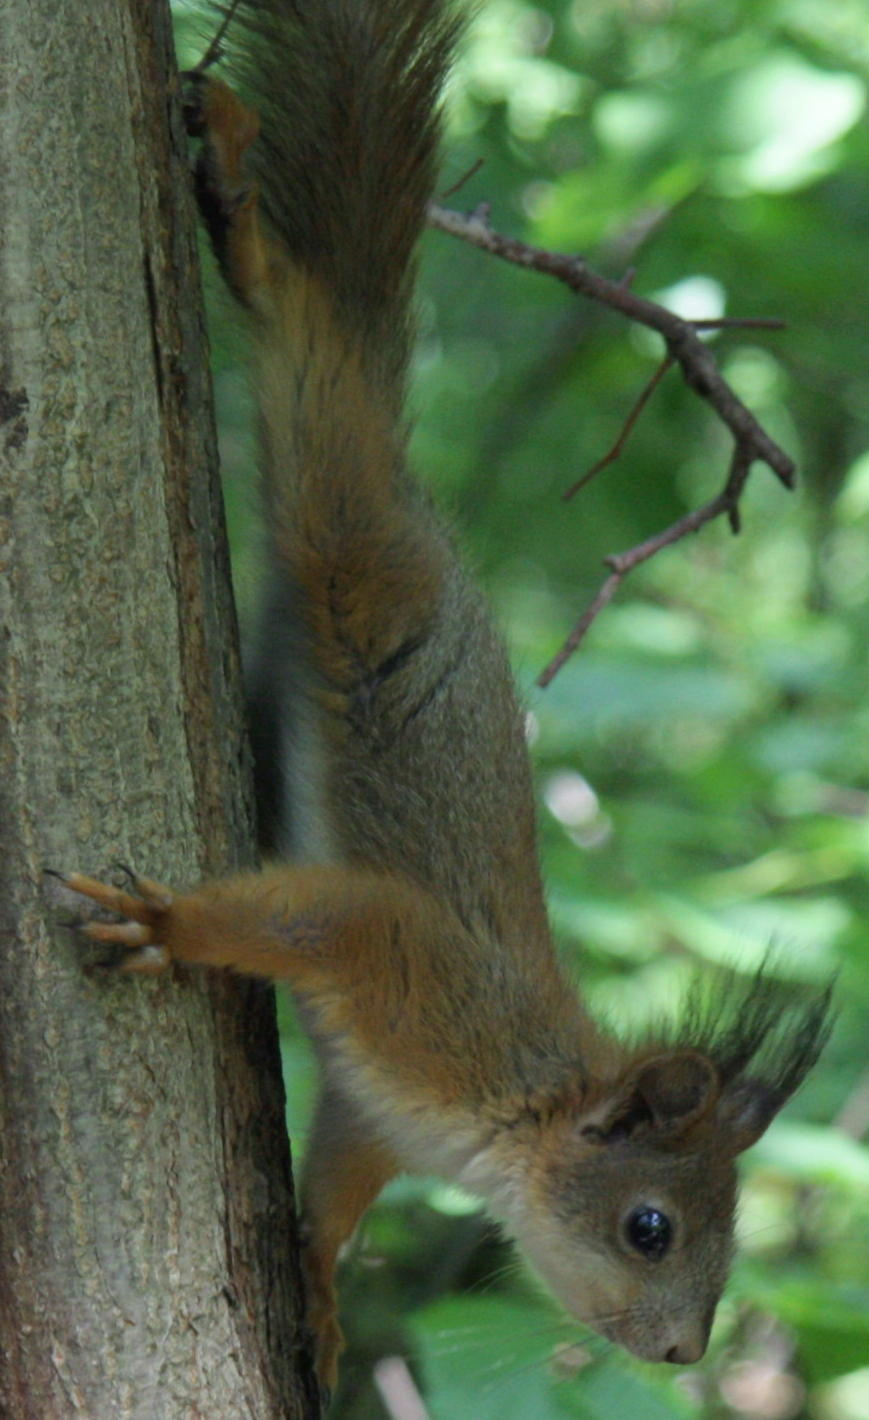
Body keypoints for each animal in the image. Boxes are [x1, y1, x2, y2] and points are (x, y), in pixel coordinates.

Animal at [61, 0, 833, 1396]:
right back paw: (240, 200)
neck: (513, 1114)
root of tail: (416, 509)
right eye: (650, 1226)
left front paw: (317, 1292)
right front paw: (167, 924)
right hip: (350, 532)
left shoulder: (372, 1112)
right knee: (312, 337)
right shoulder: (410, 973)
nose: (681, 1350)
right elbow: (320, 913)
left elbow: (335, 1187)